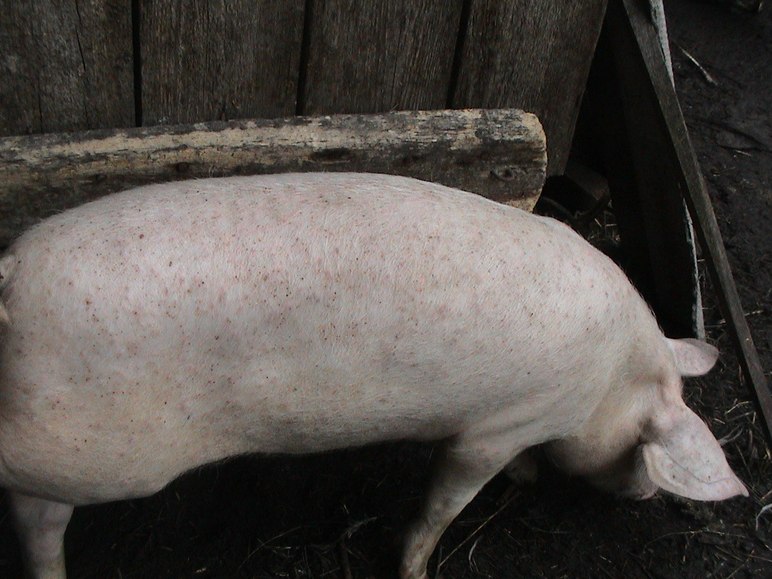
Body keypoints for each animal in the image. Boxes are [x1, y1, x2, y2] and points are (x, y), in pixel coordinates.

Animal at [0, 172, 747, 579]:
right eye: (648, 449)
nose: (644, 498)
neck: (610, 383)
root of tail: (11, 273)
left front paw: (530, 476)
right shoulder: (494, 426)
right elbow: (447, 501)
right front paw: (416, 568)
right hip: (89, 450)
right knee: (34, 508)